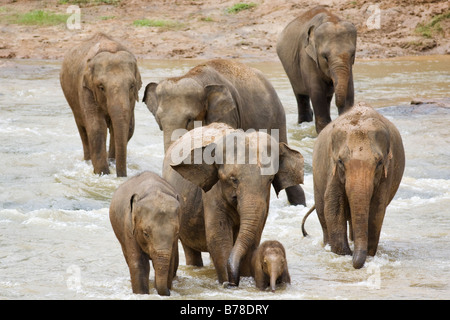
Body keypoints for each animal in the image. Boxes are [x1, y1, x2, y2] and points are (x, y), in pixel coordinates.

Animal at [59, 32, 141, 178]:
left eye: (132, 86)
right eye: (101, 87)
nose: (122, 176)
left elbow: (127, 128)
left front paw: (111, 164)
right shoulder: (86, 89)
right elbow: (97, 127)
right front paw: (103, 174)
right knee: (83, 128)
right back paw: (88, 161)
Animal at [163, 123, 304, 288]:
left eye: (270, 179)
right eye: (233, 179)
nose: (231, 283)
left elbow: (253, 239)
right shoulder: (212, 193)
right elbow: (219, 238)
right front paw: (227, 282)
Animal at [276, 6, 356, 134]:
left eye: (353, 54)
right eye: (325, 57)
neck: (331, 18)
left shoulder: (349, 66)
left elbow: (349, 88)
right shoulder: (306, 57)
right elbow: (317, 91)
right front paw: (323, 130)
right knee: (301, 96)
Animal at [304, 102, 406, 268]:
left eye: (379, 163)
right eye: (340, 161)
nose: (353, 259)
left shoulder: (387, 173)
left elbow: (377, 209)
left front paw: (366, 254)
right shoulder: (331, 168)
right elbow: (333, 205)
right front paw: (343, 253)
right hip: (316, 179)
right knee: (322, 211)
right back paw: (327, 245)